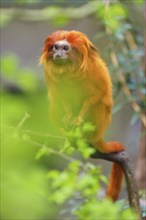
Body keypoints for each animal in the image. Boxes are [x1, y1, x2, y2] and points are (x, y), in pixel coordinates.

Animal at [40, 30, 124, 201]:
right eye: (55, 47)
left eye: (65, 48)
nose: (58, 54)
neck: (68, 68)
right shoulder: (50, 74)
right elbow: (60, 98)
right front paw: (68, 116)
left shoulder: (94, 69)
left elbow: (96, 95)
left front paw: (79, 118)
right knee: (54, 104)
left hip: (99, 123)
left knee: (100, 104)